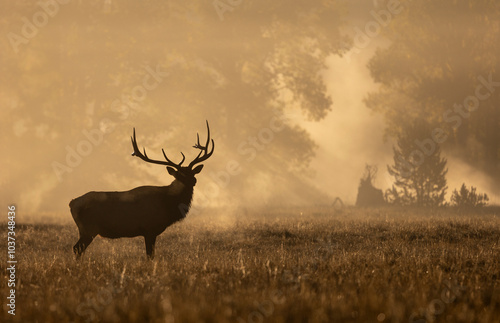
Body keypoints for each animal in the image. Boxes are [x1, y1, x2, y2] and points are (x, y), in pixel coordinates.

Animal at [69, 121, 214, 260]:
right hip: (89, 228)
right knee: (77, 248)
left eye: (192, 173)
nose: (193, 181)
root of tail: (72, 203)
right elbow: (150, 255)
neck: (167, 204)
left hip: (86, 230)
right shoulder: (149, 229)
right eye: (179, 175)